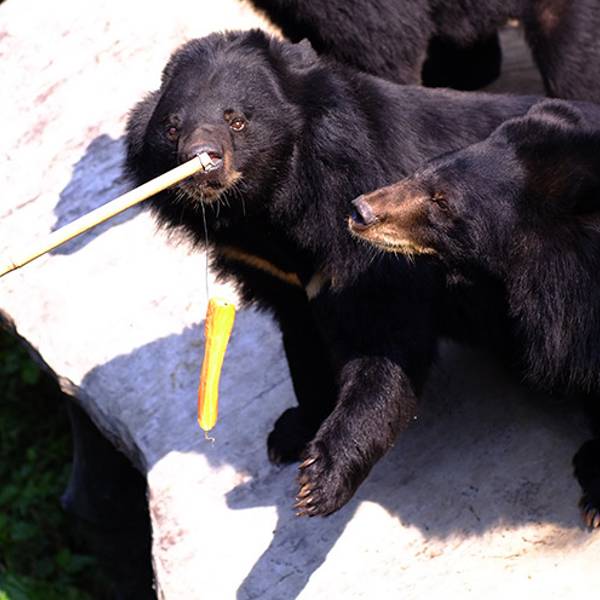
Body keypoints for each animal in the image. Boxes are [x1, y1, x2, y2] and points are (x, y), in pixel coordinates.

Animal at [125, 29, 542, 517]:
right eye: (172, 126)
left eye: (237, 120)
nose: (201, 161)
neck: (269, 205)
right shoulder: (273, 270)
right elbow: (301, 337)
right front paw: (289, 432)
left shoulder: (372, 230)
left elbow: (384, 337)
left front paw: (320, 480)